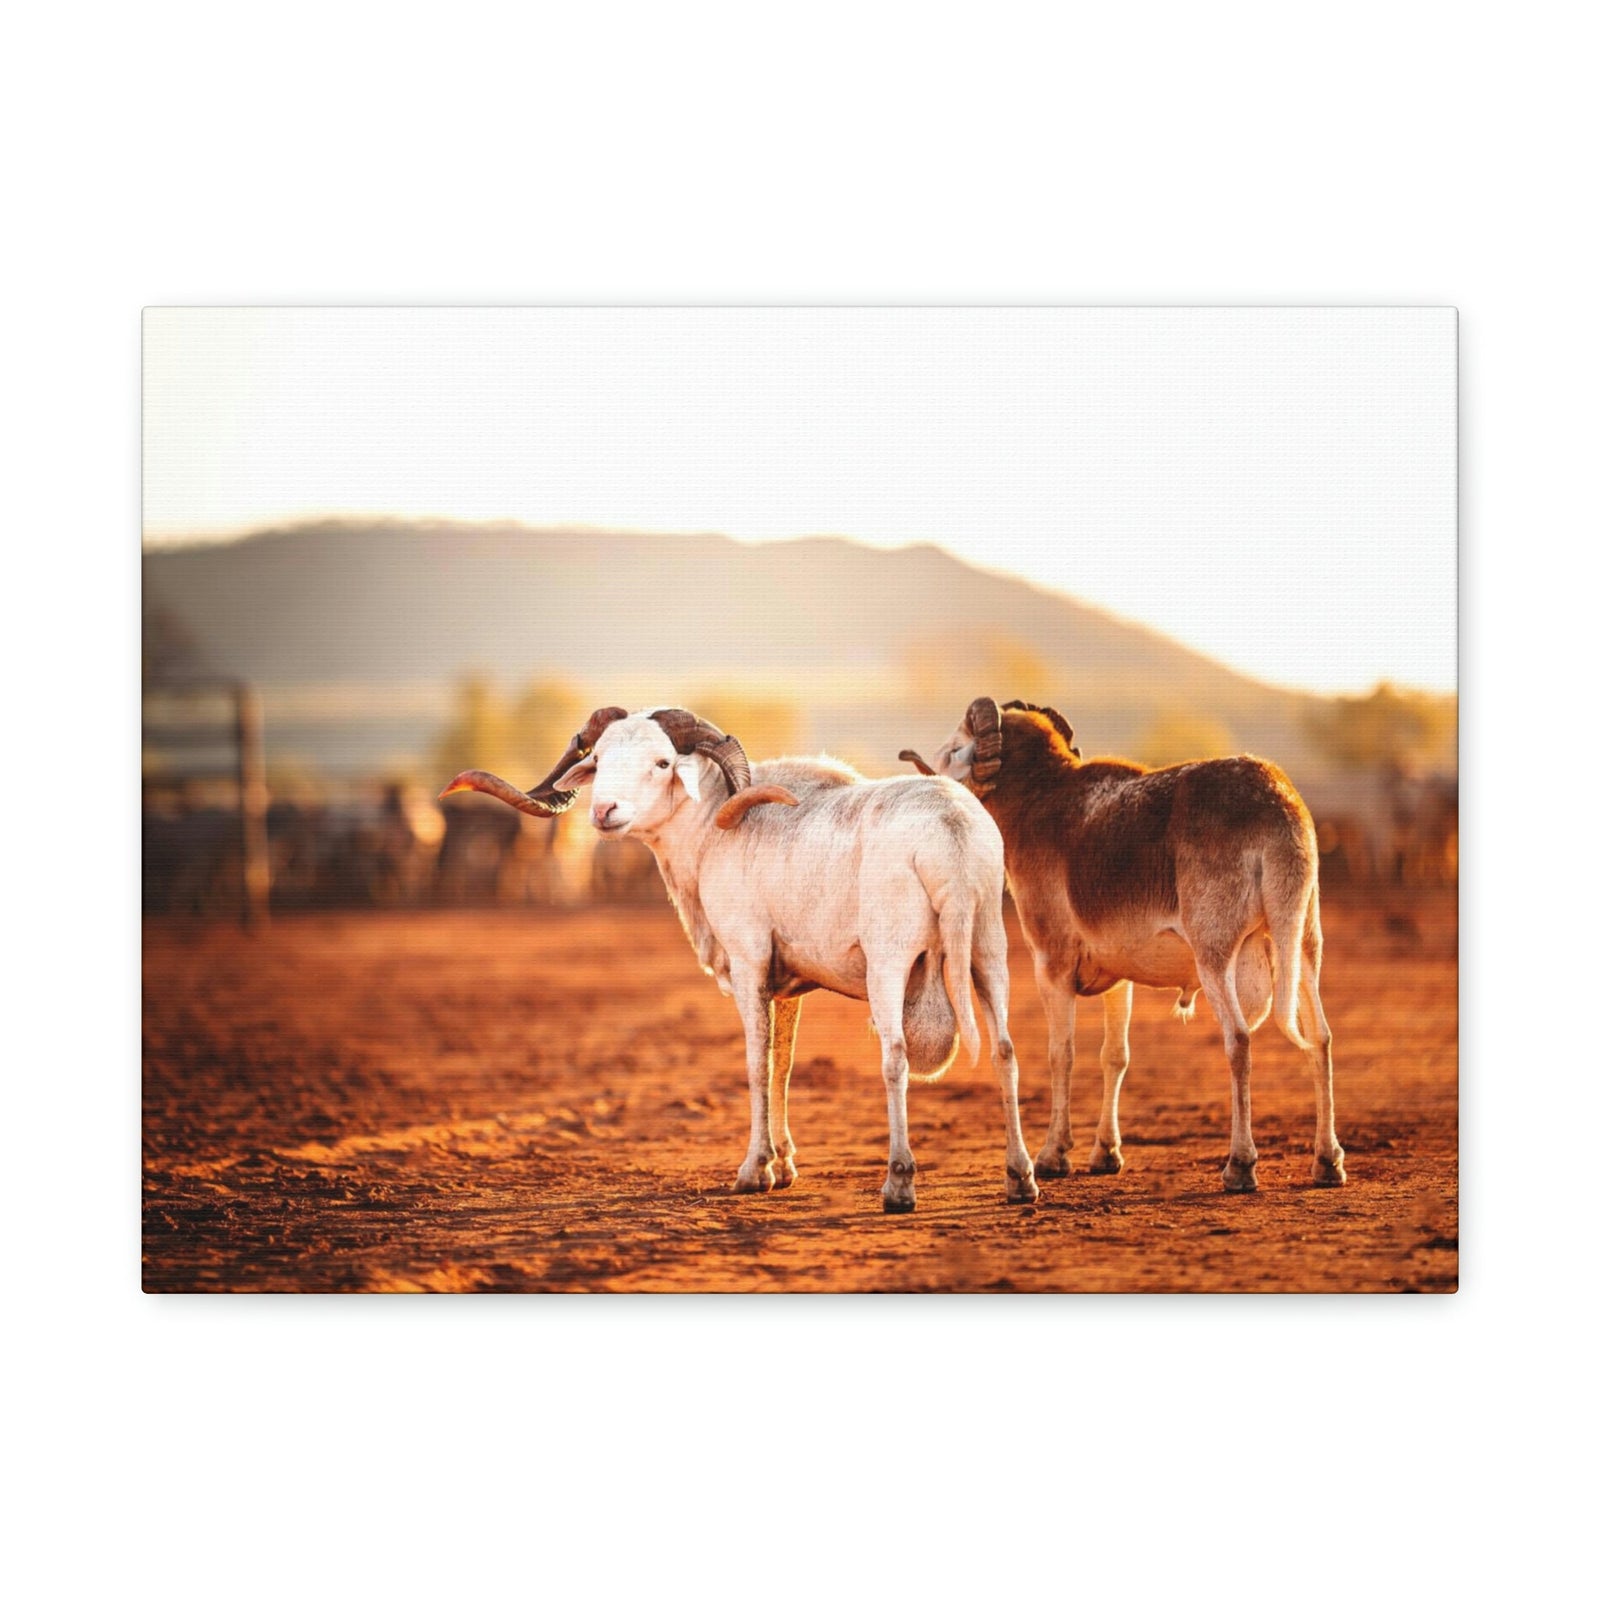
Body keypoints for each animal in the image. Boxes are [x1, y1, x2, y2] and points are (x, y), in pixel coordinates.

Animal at [443, 705, 1038, 1213]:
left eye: (662, 762)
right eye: (602, 758)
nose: (604, 812)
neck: (710, 833)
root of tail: (950, 834)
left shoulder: (750, 962)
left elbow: (756, 1065)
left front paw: (755, 1171)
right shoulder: (789, 985)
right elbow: (783, 1066)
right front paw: (786, 1165)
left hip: (890, 962)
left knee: (894, 1058)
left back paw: (898, 1186)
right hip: (988, 951)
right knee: (1006, 1051)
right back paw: (1021, 1179)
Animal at [901, 698, 1345, 1192]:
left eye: (955, 748)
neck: (1039, 803)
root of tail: (1278, 809)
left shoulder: (1051, 968)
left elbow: (1063, 1055)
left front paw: (1054, 1156)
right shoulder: (1119, 983)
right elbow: (1115, 1057)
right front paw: (1105, 1154)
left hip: (1217, 961)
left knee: (1240, 1040)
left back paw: (1240, 1166)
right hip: (1301, 949)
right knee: (1320, 1038)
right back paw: (1327, 1163)